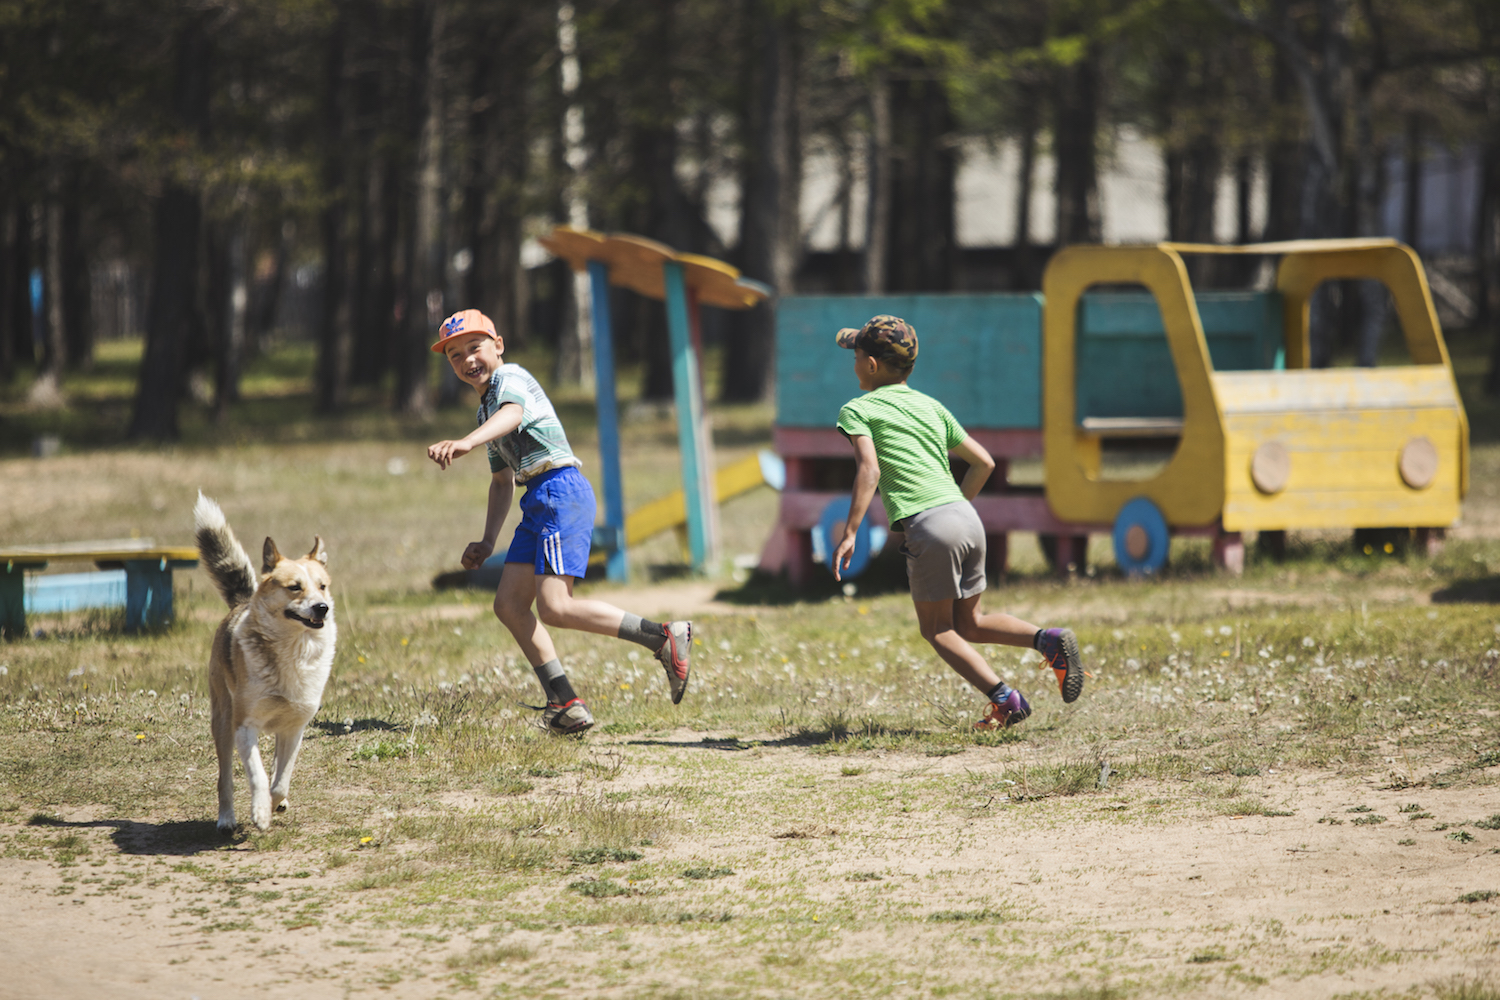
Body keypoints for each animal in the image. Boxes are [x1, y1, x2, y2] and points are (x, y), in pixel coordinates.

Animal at [193, 494, 337, 839]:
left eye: (322, 586)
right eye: (295, 587)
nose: (322, 608)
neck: (293, 651)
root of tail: (241, 603)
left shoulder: (295, 727)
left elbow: (280, 781)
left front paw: (273, 804)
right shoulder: (245, 727)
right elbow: (257, 776)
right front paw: (259, 812)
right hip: (222, 720)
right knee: (224, 779)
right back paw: (226, 818)